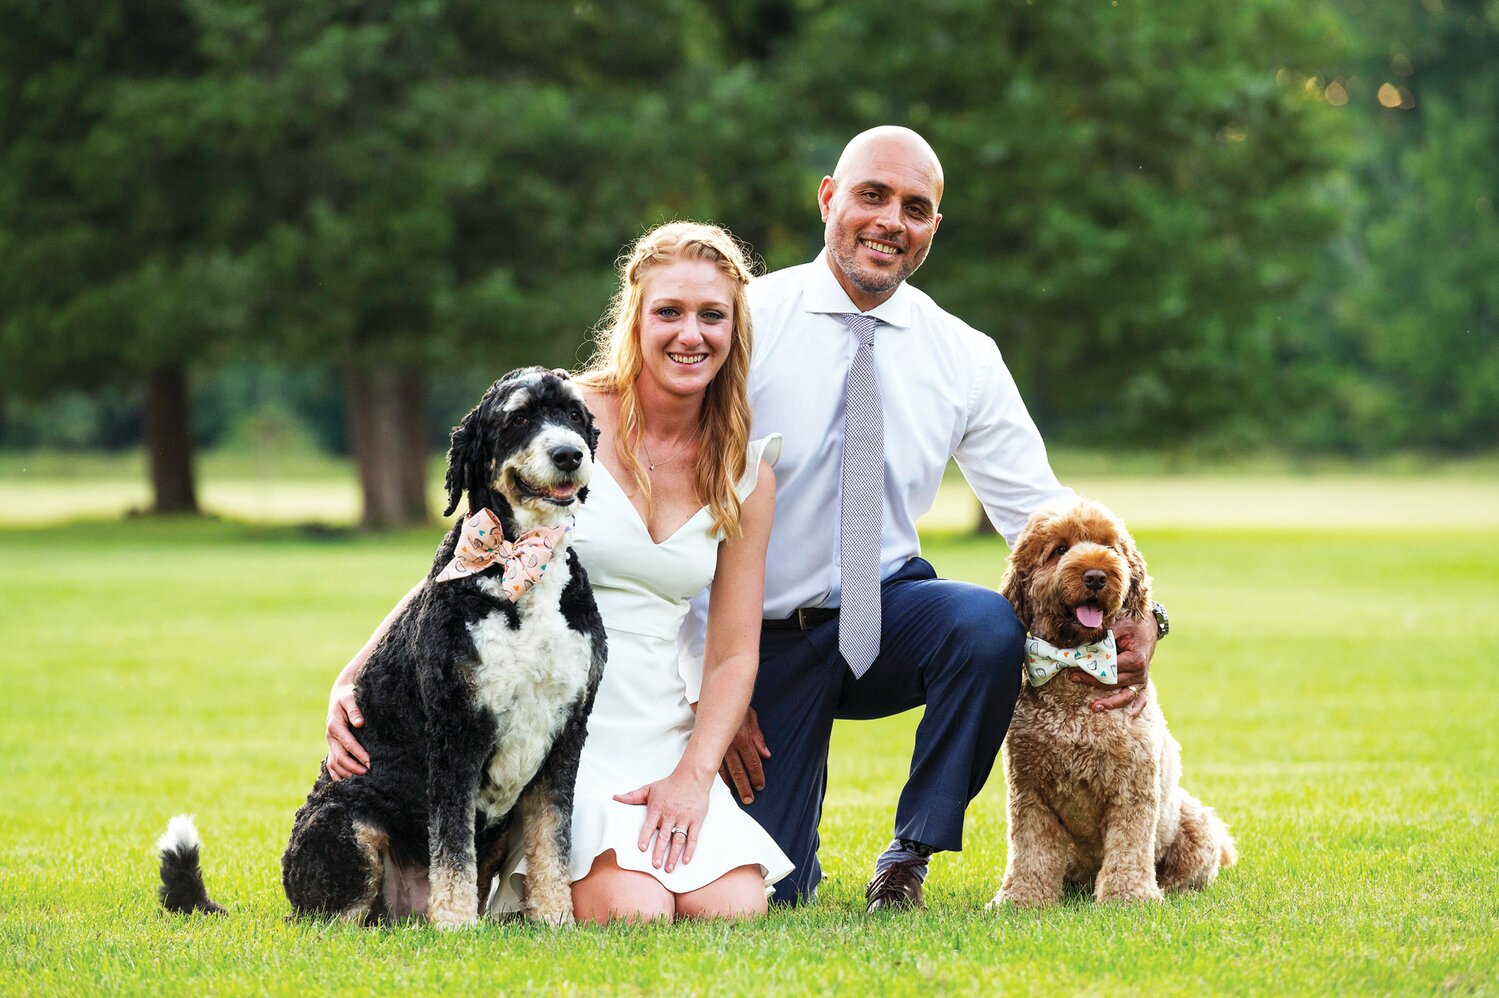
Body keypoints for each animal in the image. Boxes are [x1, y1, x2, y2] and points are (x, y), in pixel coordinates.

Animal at [158, 367, 608, 923]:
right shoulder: (455, 732)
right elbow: (452, 845)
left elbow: (552, 843)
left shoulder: (566, 731)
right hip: (348, 826)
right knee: (335, 920)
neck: (518, 565)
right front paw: (456, 926)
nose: (569, 454)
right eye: (519, 418)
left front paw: (554, 920)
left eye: (572, 413)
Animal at [989, 494, 1235, 905]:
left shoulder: (1132, 786)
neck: (1074, 663)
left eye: (1110, 547)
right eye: (1059, 550)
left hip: (1193, 822)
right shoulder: (1030, 791)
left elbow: (1129, 846)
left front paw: (1129, 897)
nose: (1096, 576)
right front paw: (1022, 898)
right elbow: (1032, 850)